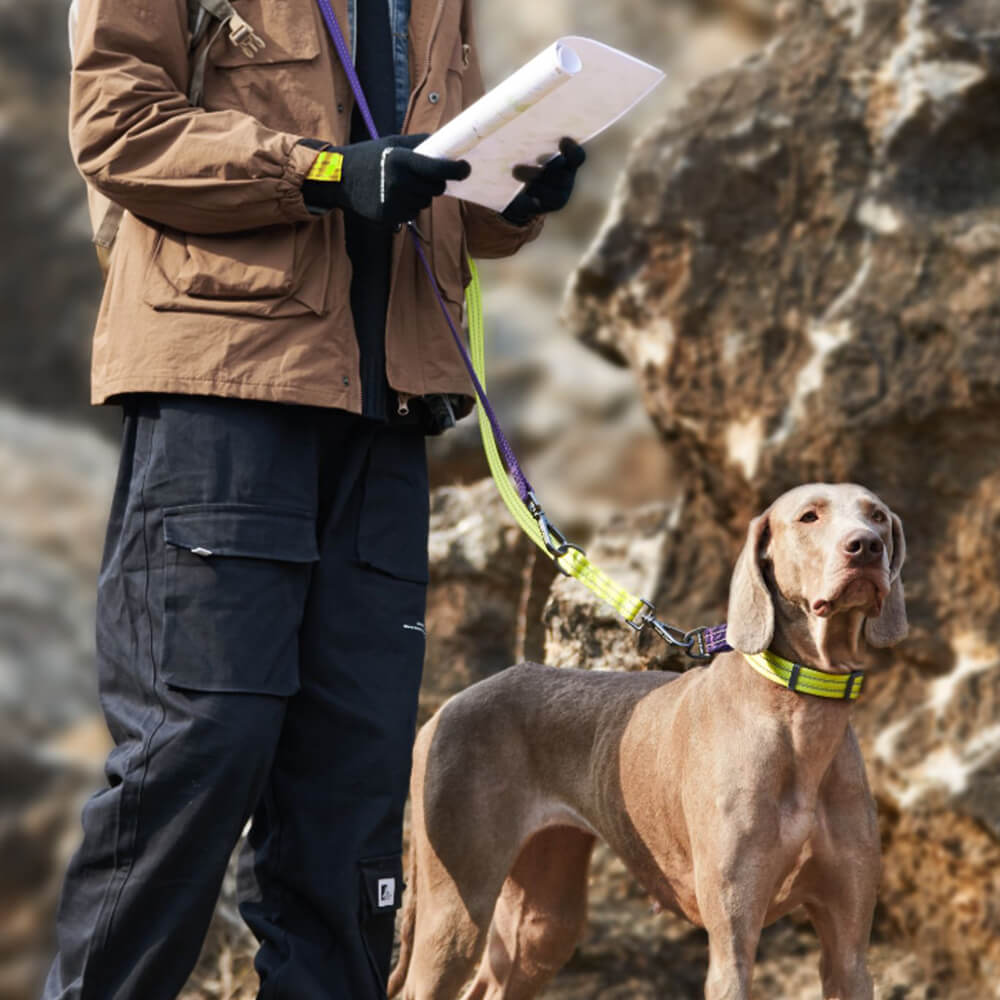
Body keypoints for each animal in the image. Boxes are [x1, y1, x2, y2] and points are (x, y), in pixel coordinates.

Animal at [390, 480, 908, 996]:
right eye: (808, 517)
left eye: (878, 516)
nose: (866, 546)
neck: (800, 713)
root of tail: (443, 710)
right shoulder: (732, 944)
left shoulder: (849, 954)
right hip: (457, 907)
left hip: (543, 916)